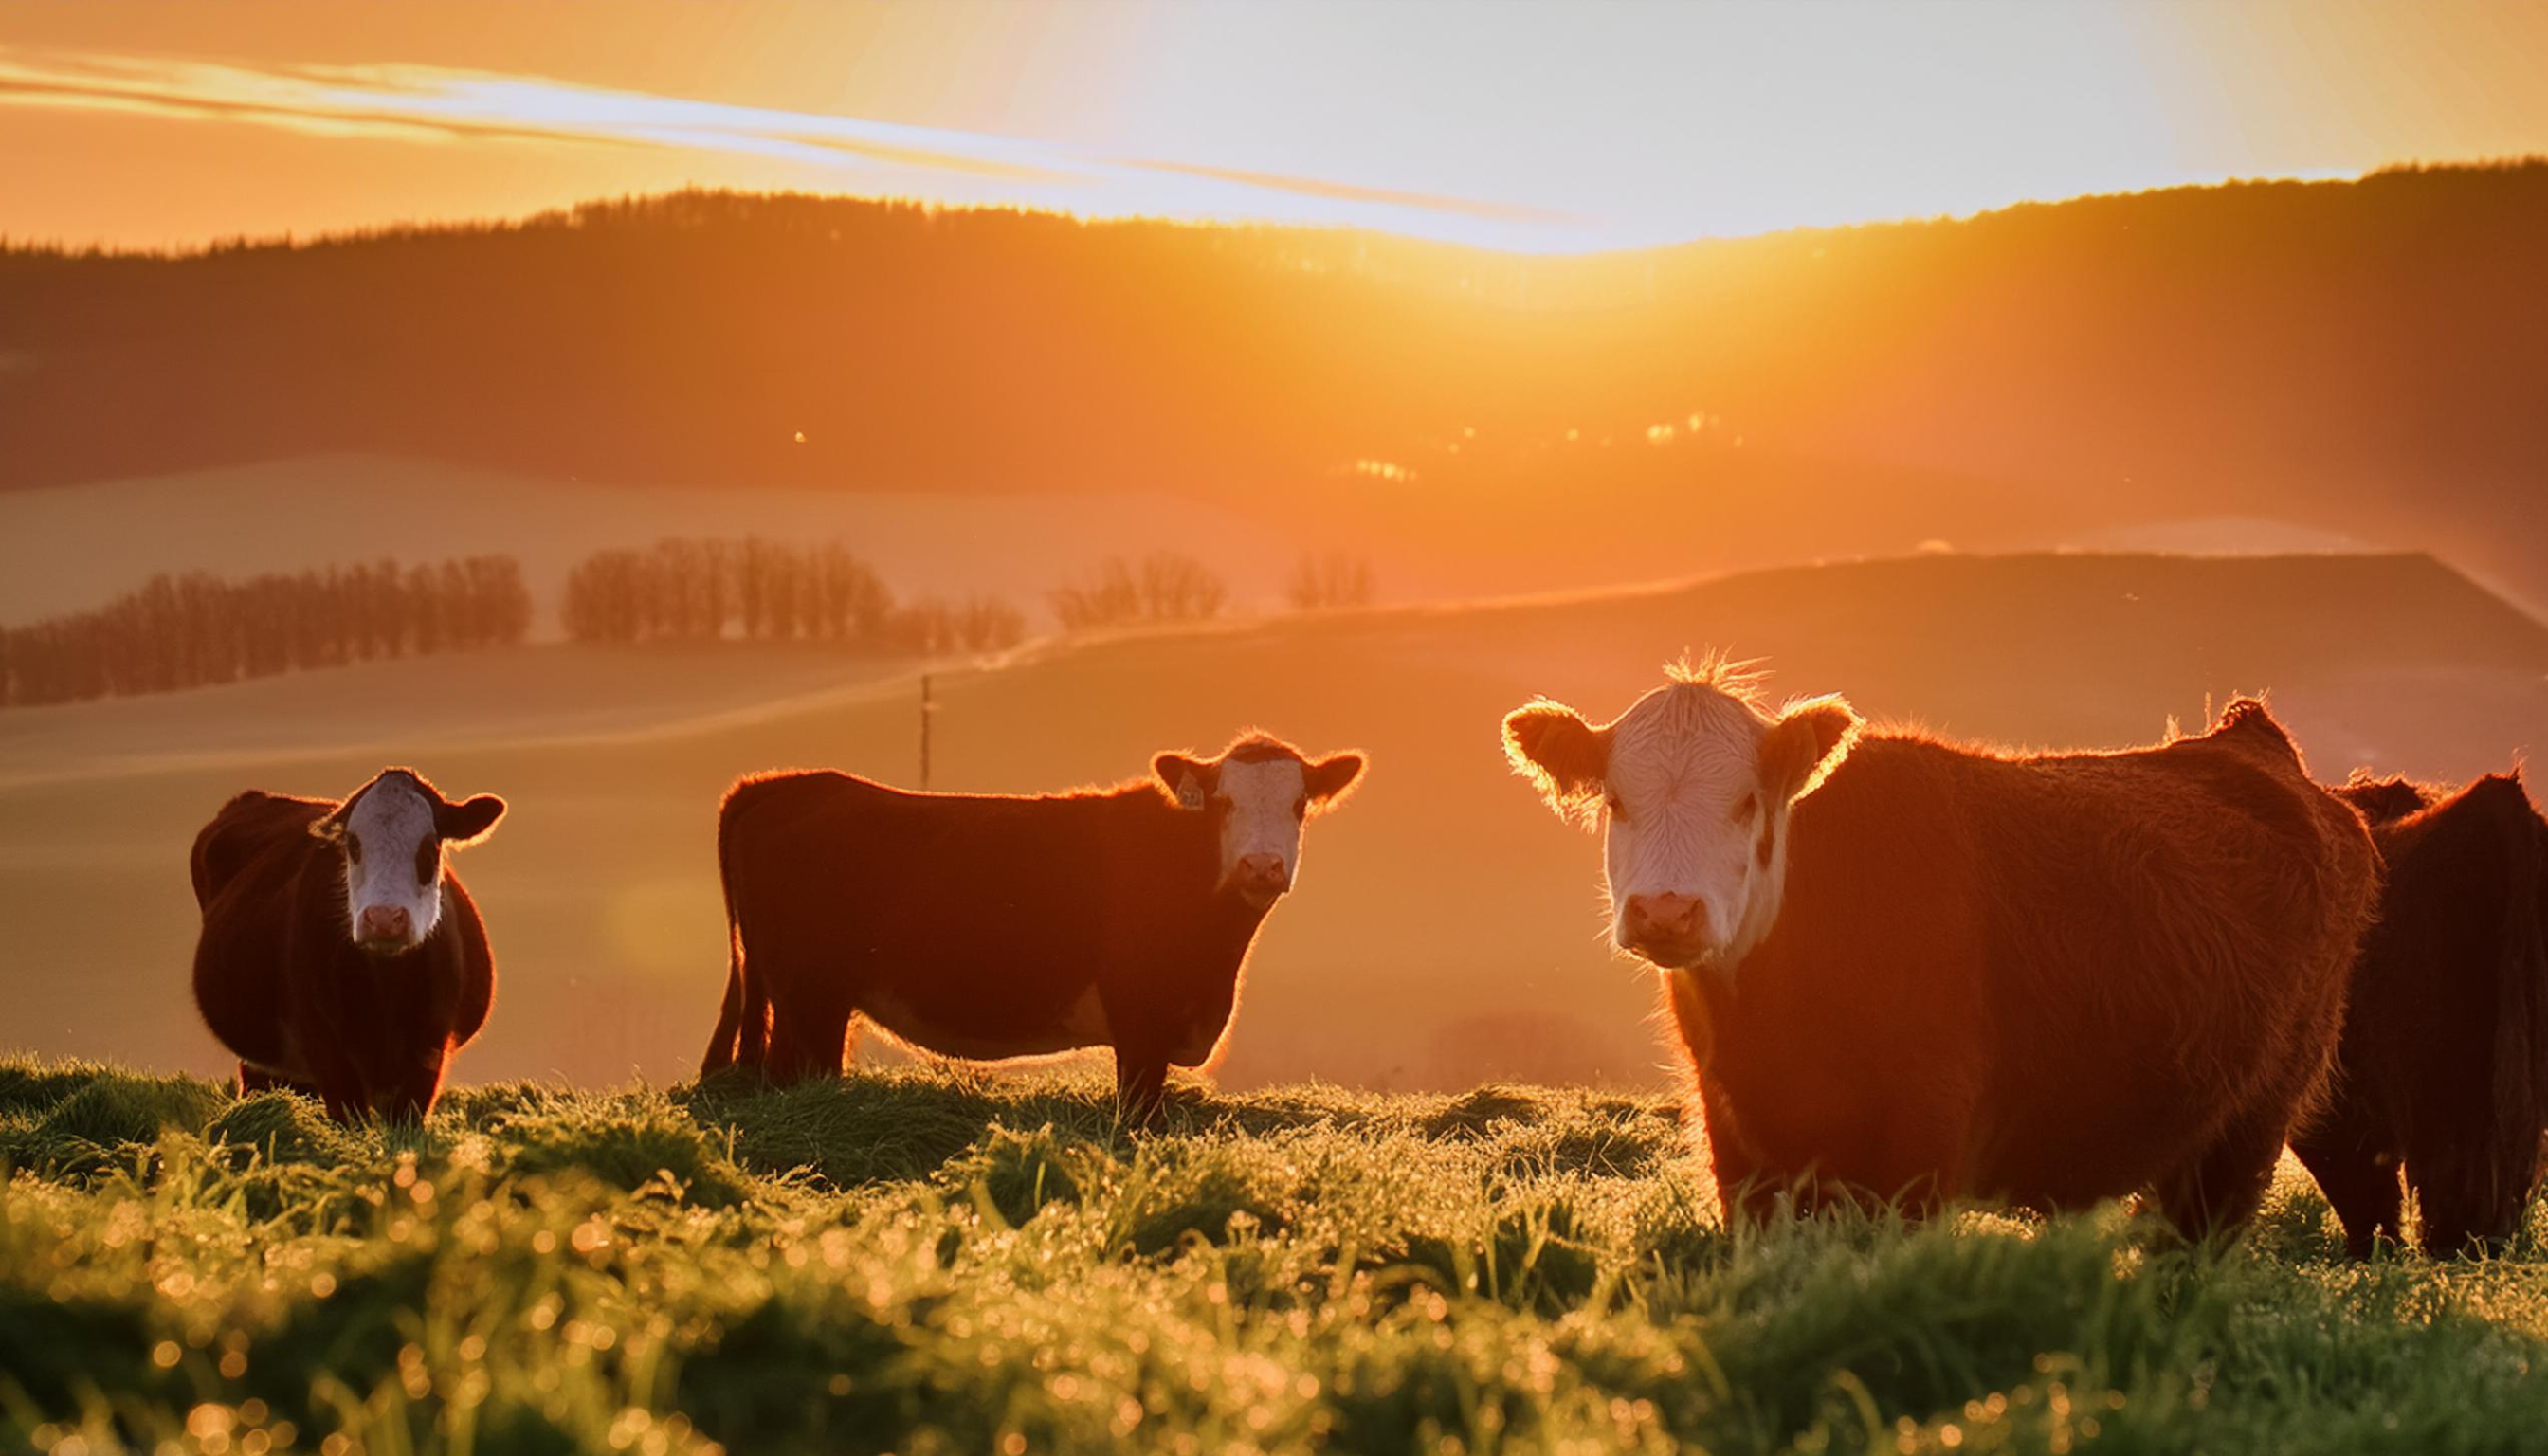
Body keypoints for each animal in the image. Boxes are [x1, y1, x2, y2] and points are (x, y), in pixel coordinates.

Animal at [190, 770, 506, 1121]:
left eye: (430, 846)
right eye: (353, 845)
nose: (384, 919)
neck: (386, 984)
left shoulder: (431, 1046)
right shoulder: (324, 1043)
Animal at [698, 734, 1375, 1121]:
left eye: (1298, 805)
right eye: (1224, 802)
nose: (1261, 865)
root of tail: (782, 785)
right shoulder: (1140, 1026)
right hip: (810, 999)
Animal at [1498, 663, 2375, 1244]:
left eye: (1747, 802)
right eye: (1617, 801)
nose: (1668, 912)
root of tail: (2247, 747)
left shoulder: (1924, 1134)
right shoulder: (1739, 1144)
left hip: (2254, 1124)